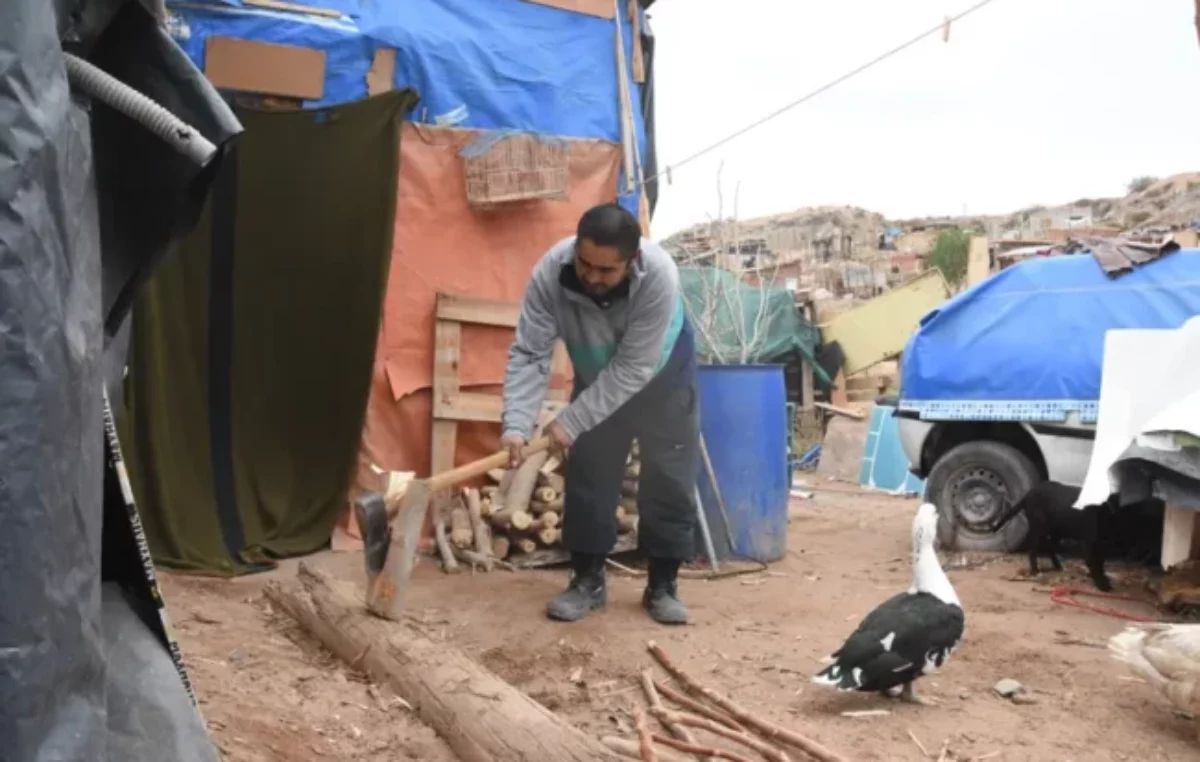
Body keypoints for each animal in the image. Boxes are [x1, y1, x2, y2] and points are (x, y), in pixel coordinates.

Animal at [988, 480, 1118, 592]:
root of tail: (1030, 492)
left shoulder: (1100, 545)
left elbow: (1099, 562)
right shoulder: (1091, 542)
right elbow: (1095, 563)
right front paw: (1102, 584)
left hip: (1057, 529)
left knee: (1050, 546)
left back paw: (1057, 566)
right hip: (1040, 527)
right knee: (1034, 548)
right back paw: (1035, 570)